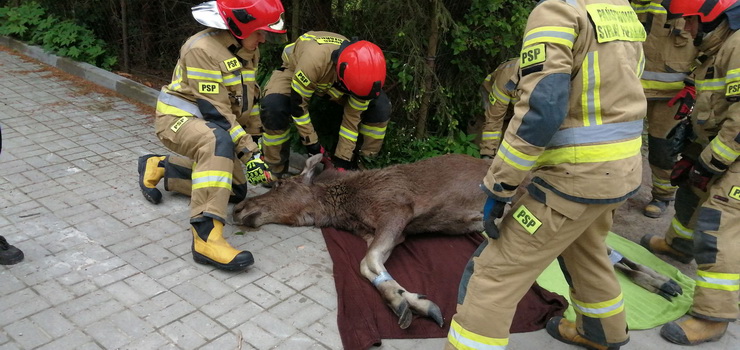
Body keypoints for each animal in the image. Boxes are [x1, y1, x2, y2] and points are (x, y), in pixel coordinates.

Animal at [234, 152, 684, 328]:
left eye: (281, 186)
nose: (239, 209)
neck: (346, 207)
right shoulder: (381, 230)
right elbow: (370, 262)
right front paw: (409, 301)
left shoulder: (396, 211)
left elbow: (367, 264)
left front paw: (409, 304)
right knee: (605, 254)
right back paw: (663, 283)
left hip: (526, 213)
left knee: (605, 252)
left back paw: (663, 281)